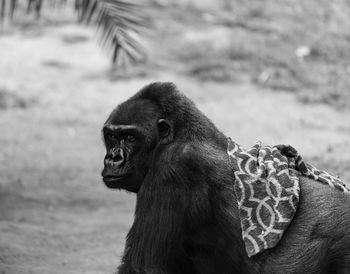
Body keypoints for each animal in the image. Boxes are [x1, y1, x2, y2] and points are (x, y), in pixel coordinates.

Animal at [101, 82, 350, 272]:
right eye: (111, 136)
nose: (113, 158)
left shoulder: (172, 169)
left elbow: (144, 267)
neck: (180, 136)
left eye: (131, 137)